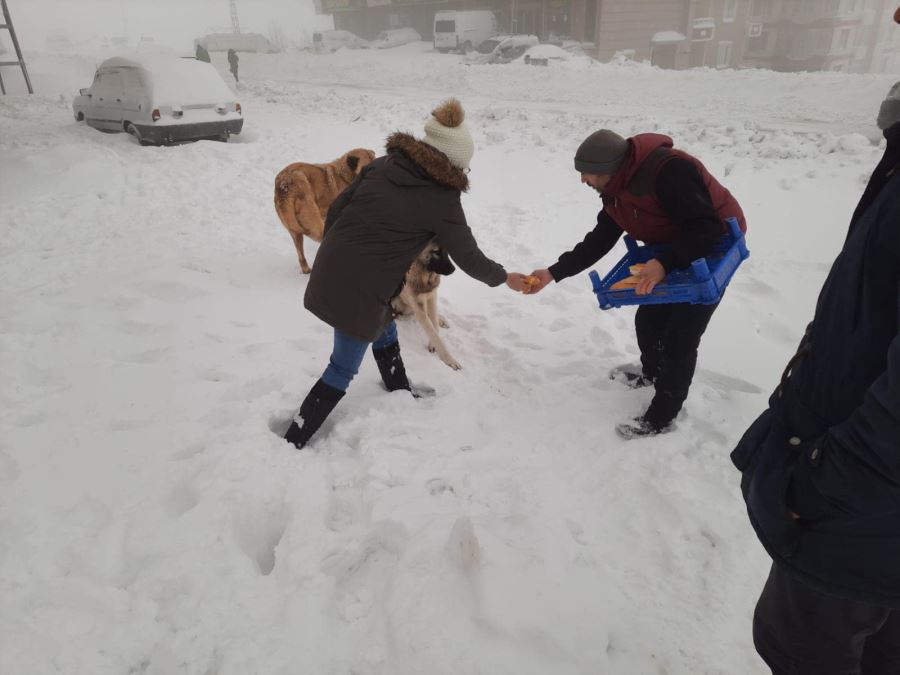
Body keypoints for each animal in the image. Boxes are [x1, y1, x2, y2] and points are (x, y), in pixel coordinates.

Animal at [390, 240, 460, 372]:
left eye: (447, 250)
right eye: (436, 252)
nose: (453, 269)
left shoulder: (432, 296)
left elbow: (434, 326)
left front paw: (433, 344)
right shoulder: (419, 306)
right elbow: (433, 333)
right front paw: (449, 360)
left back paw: (441, 320)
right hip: (397, 303)